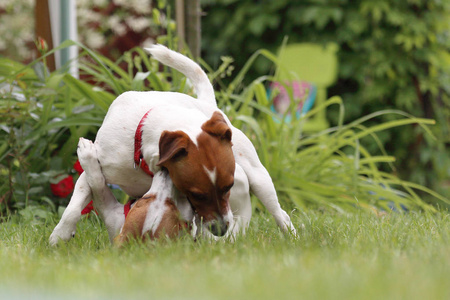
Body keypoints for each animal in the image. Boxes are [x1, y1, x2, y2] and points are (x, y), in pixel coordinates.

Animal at [49, 45, 296, 246]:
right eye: (197, 194)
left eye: (228, 186)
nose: (221, 229)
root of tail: (206, 104)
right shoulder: (99, 168)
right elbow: (76, 203)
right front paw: (60, 234)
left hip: (259, 177)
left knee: (279, 213)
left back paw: (291, 235)